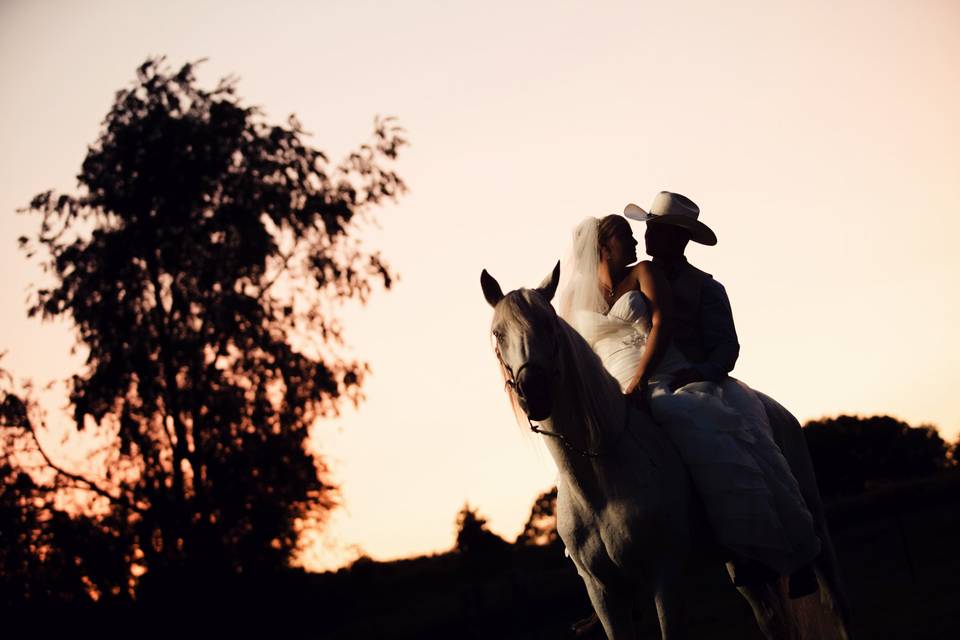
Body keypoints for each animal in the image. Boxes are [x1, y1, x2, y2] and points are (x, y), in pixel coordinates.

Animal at [484, 264, 852, 640]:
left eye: (548, 324)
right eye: (498, 334)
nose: (533, 393)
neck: (600, 480)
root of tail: (778, 410)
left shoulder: (665, 578)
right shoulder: (604, 594)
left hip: (818, 534)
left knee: (837, 605)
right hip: (743, 559)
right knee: (771, 619)